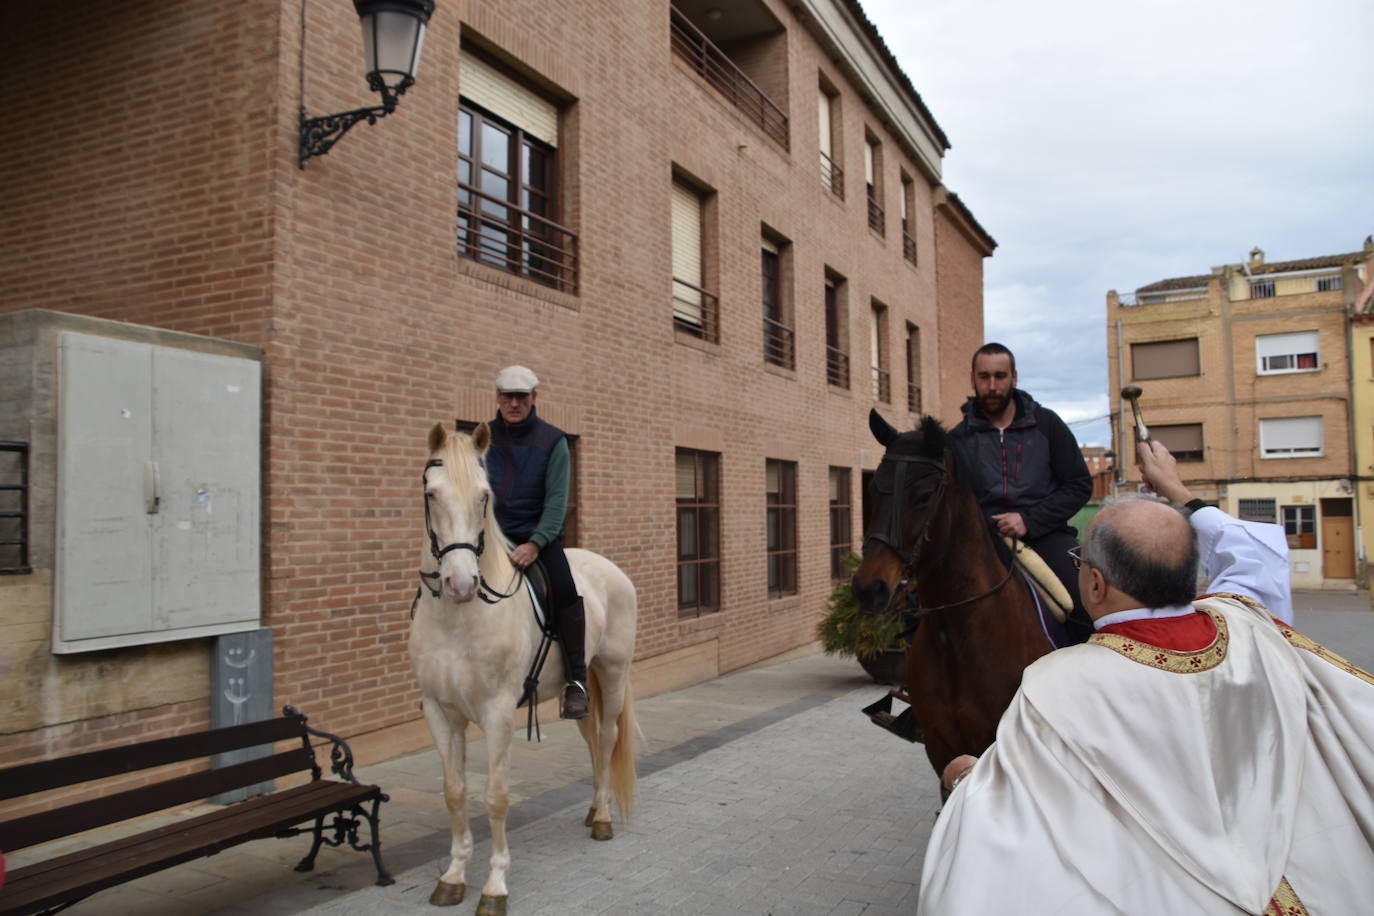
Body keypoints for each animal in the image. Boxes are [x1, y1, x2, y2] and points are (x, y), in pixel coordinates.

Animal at [409, 425, 640, 916]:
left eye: (483, 497)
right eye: (432, 494)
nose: (461, 583)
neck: (459, 618)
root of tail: (610, 569)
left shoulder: (497, 713)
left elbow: (496, 797)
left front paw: (495, 885)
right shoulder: (440, 712)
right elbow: (454, 792)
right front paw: (453, 876)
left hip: (613, 673)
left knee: (606, 738)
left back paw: (603, 818)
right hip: (581, 691)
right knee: (591, 740)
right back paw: (592, 808)